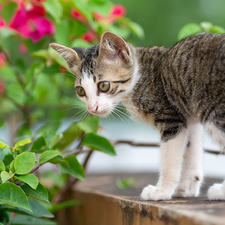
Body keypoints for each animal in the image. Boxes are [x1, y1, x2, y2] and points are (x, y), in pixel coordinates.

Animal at [50, 31, 225, 200]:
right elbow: (192, 149)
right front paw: (186, 188)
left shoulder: (170, 119)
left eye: (104, 85)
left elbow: (170, 160)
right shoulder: (187, 114)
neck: (140, 76)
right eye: (80, 91)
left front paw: (162, 191)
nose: (93, 108)